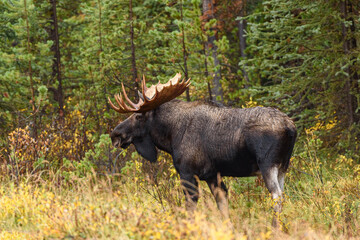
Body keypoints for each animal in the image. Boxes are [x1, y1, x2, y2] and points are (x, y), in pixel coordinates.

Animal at [108, 73, 296, 227]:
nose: (115, 134)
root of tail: (291, 128)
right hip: (283, 167)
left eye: (138, 116)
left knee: (276, 195)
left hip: (267, 164)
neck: (170, 136)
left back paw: (274, 227)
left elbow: (190, 207)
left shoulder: (187, 171)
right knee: (283, 193)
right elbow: (222, 204)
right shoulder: (212, 174)